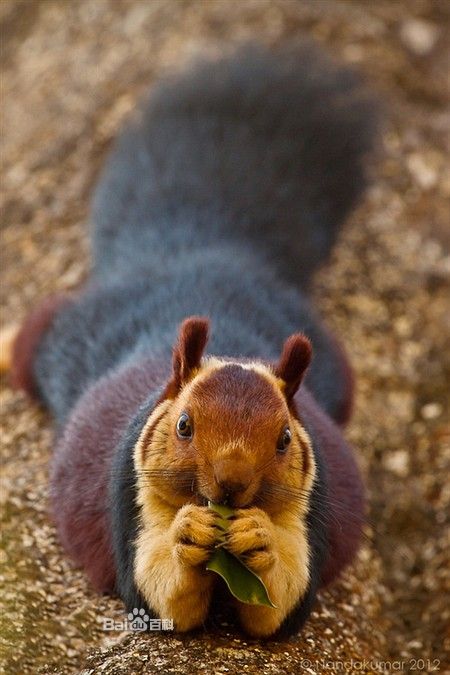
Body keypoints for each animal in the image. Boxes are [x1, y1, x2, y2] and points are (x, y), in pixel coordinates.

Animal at [8, 41, 378, 640]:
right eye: (183, 426)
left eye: (283, 438)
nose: (229, 485)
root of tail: (199, 250)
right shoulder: (128, 493)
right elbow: (156, 595)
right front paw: (189, 534)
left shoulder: (314, 504)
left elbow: (284, 605)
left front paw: (257, 536)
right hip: (75, 335)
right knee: (40, 330)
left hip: (333, 364)